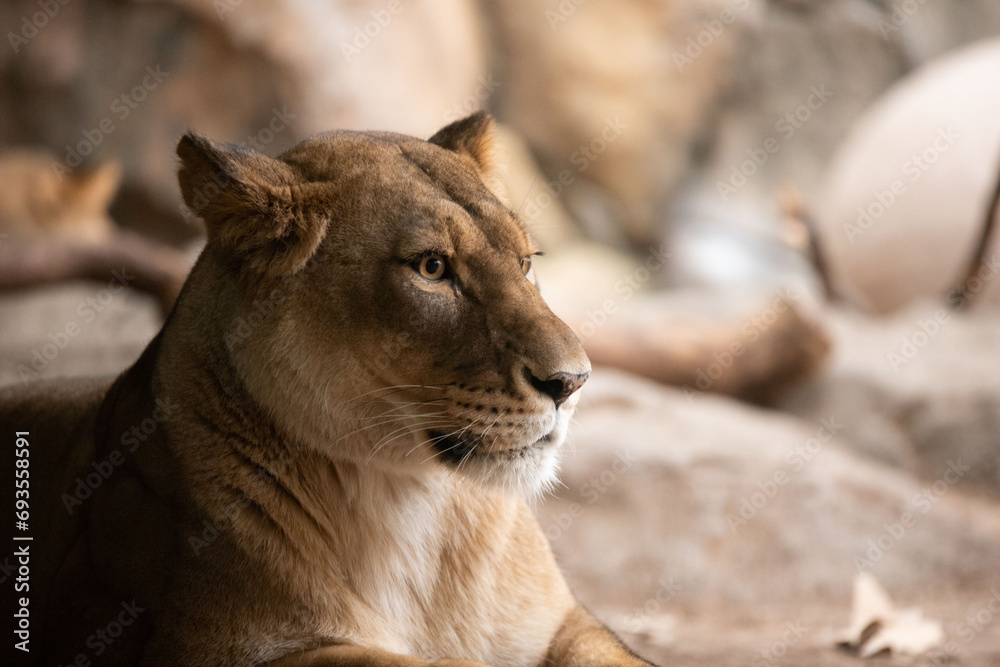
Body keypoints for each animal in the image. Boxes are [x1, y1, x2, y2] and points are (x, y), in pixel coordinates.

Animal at [0, 112, 656, 666]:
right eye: (432, 268)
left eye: (525, 262)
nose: (573, 381)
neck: (411, 501)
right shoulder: (213, 650)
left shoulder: (564, 623)